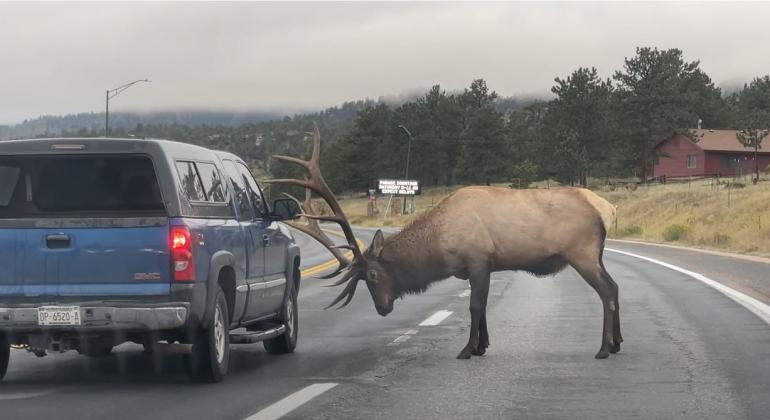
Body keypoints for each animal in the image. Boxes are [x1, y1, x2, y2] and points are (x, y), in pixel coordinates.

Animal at [268, 124, 616, 358]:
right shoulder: (483, 266)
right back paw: (615, 344)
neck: (438, 246)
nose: (382, 309)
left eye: (373, 274)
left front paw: (467, 349)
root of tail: (606, 210)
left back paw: (604, 348)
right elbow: (482, 307)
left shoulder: (478, 260)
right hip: (595, 255)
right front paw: (481, 346)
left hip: (582, 254)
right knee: (613, 287)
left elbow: (475, 307)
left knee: (606, 290)